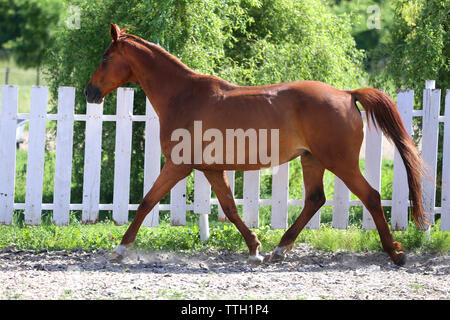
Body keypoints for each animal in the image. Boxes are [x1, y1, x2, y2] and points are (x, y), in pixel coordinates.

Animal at [86, 24, 428, 264]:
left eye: (105, 58)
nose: (90, 92)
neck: (183, 96)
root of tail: (346, 94)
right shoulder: (211, 168)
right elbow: (229, 207)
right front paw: (255, 248)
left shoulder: (179, 164)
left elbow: (147, 201)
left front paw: (120, 248)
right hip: (312, 160)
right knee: (315, 199)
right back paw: (280, 249)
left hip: (339, 162)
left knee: (370, 196)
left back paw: (395, 253)